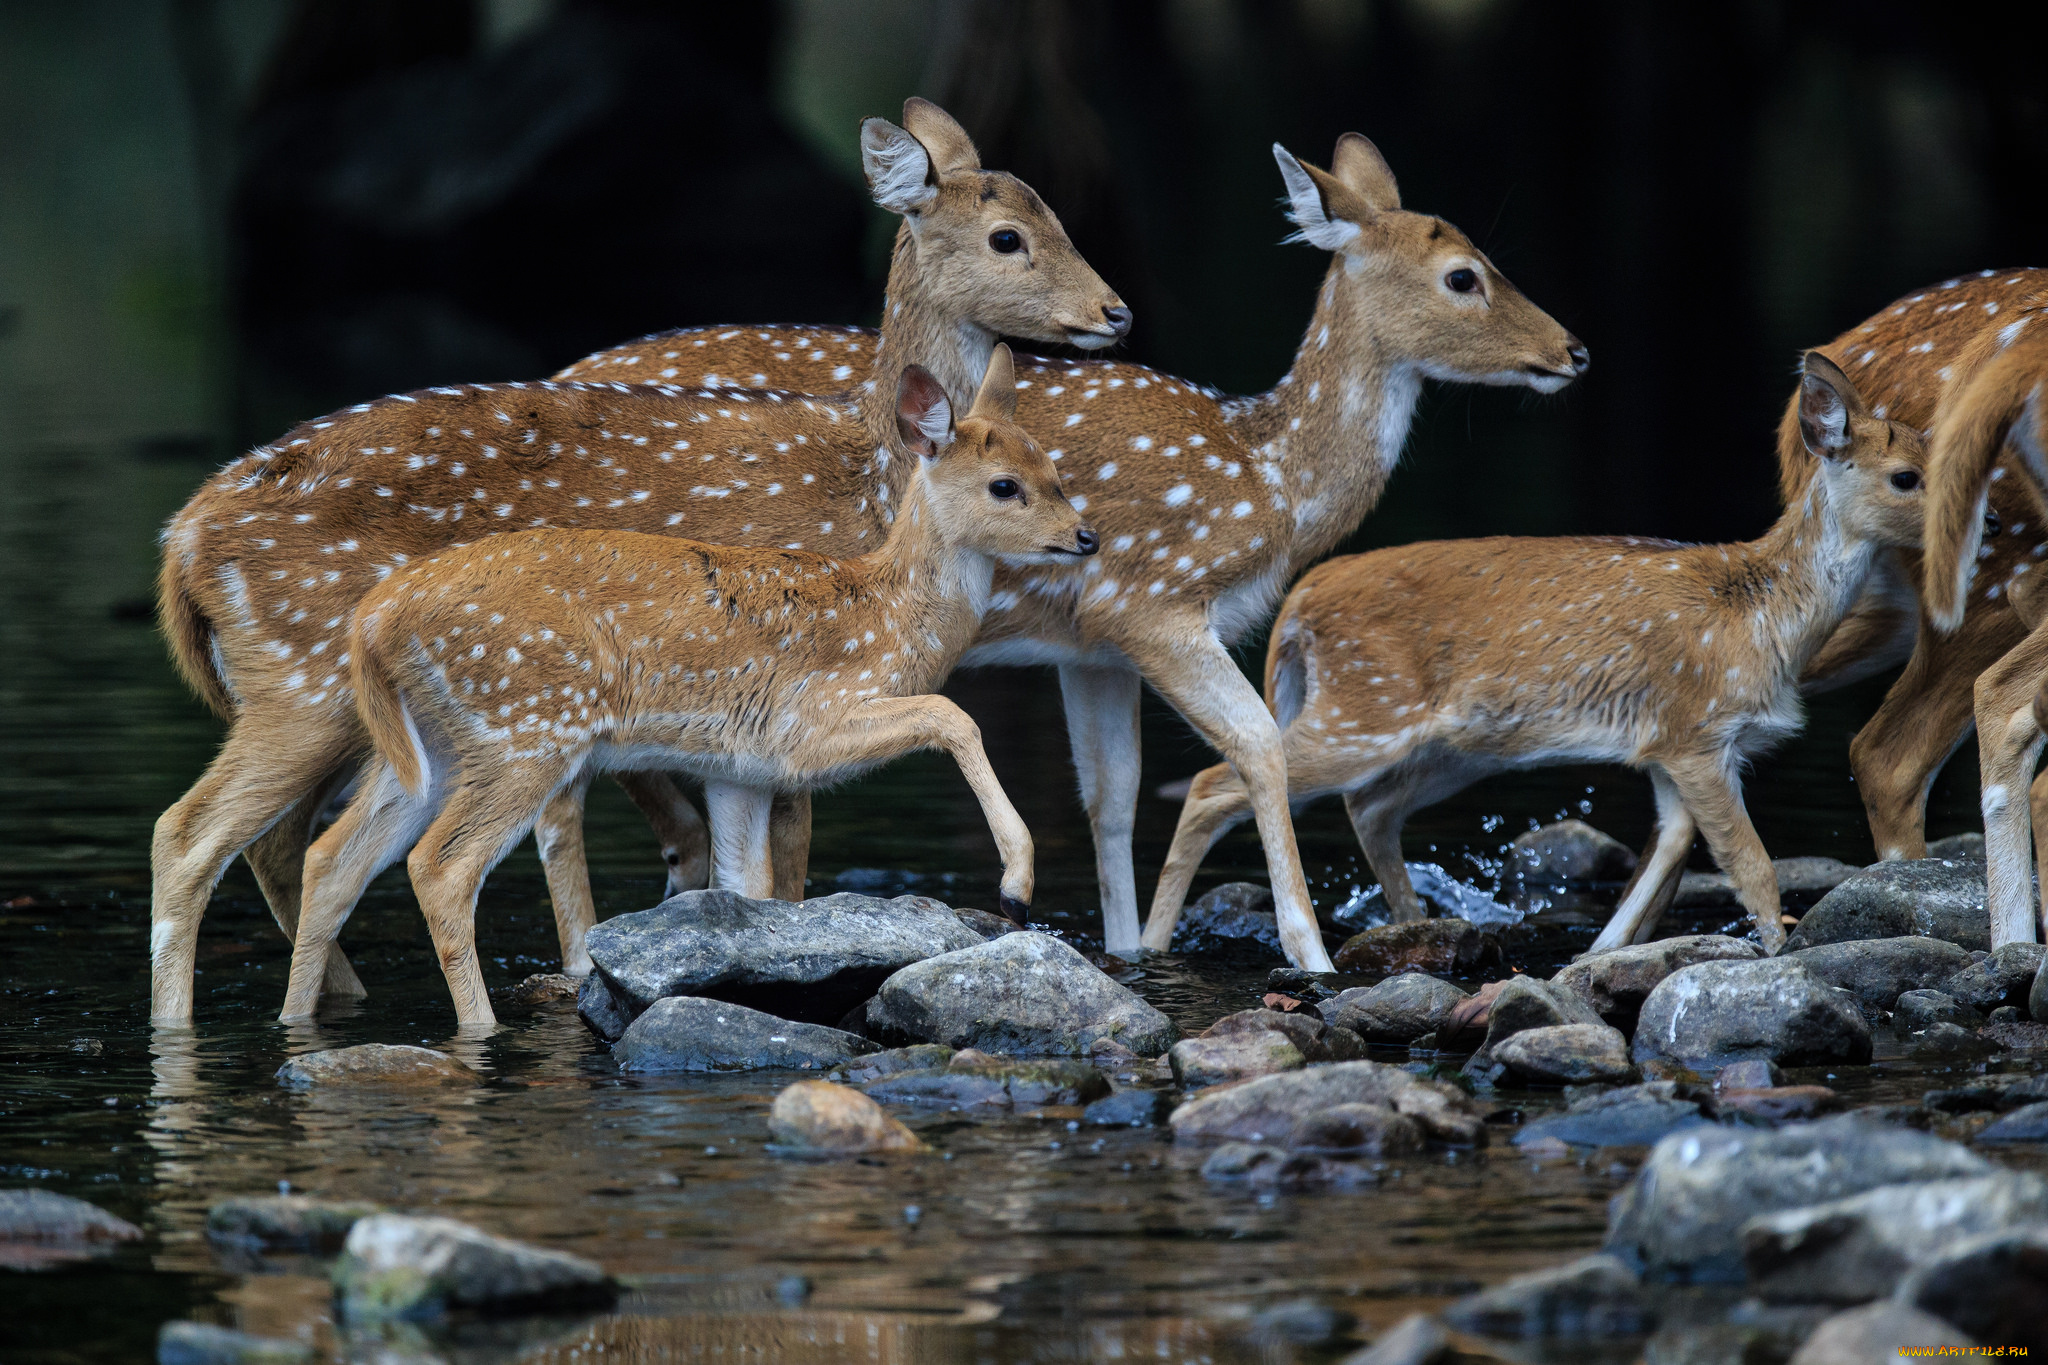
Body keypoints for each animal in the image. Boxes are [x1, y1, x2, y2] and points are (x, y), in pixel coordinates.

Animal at [280, 351, 1097, 1023]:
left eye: (1058, 473)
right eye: (1005, 486)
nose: (1085, 536)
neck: (889, 616)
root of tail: (375, 619)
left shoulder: (741, 769)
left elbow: (748, 886)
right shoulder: (806, 726)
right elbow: (952, 713)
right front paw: (1016, 885)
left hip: (432, 749)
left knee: (329, 860)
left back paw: (296, 1022)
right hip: (525, 729)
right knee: (440, 870)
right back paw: (481, 1027)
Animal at [569, 133, 1589, 970]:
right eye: (1463, 276)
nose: (1575, 350)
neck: (1271, 480)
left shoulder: (1090, 645)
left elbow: (1114, 794)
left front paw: (1134, 944)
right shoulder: (1157, 599)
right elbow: (1257, 745)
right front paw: (1308, 953)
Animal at [1146, 358, 1925, 965]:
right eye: (1907, 476)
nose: (1959, 520)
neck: (1765, 617)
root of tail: (1301, 599)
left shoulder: (1668, 745)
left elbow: (1667, 851)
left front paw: (1596, 955)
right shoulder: (1697, 731)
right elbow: (1752, 865)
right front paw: (1779, 953)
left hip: (1449, 743)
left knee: (1369, 806)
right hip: (1364, 707)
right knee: (1218, 780)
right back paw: (1156, 944)